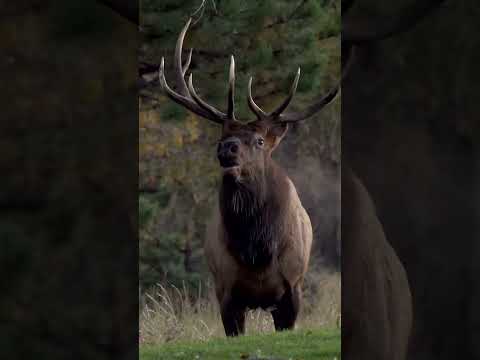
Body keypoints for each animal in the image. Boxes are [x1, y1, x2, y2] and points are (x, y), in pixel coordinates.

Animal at [159, 19, 340, 334]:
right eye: (221, 136)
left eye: (259, 140)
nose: (226, 148)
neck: (256, 254)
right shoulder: (225, 290)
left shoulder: (293, 286)